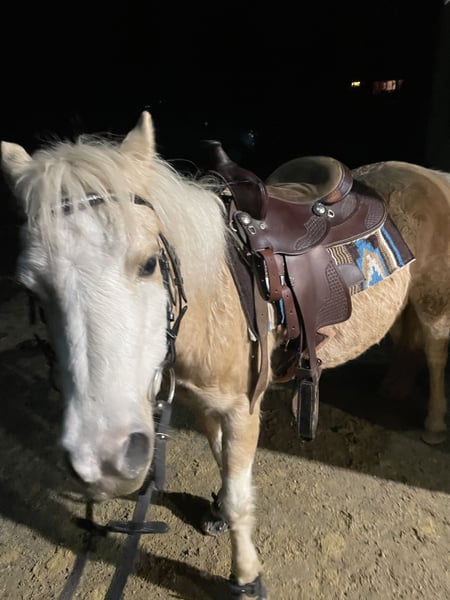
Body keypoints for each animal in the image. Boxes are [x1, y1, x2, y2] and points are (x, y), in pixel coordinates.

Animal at [1, 111, 448, 599]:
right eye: (30, 288)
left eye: (148, 263)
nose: (102, 461)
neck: (214, 298)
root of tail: (426, 172)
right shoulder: (204, 403)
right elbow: (220, 460)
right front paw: (215, 513)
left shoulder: (242, 409)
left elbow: (237, 494)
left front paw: (247, 575)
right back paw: (393, 387)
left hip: (433, 303)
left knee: (434, 352)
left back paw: (433, 425)